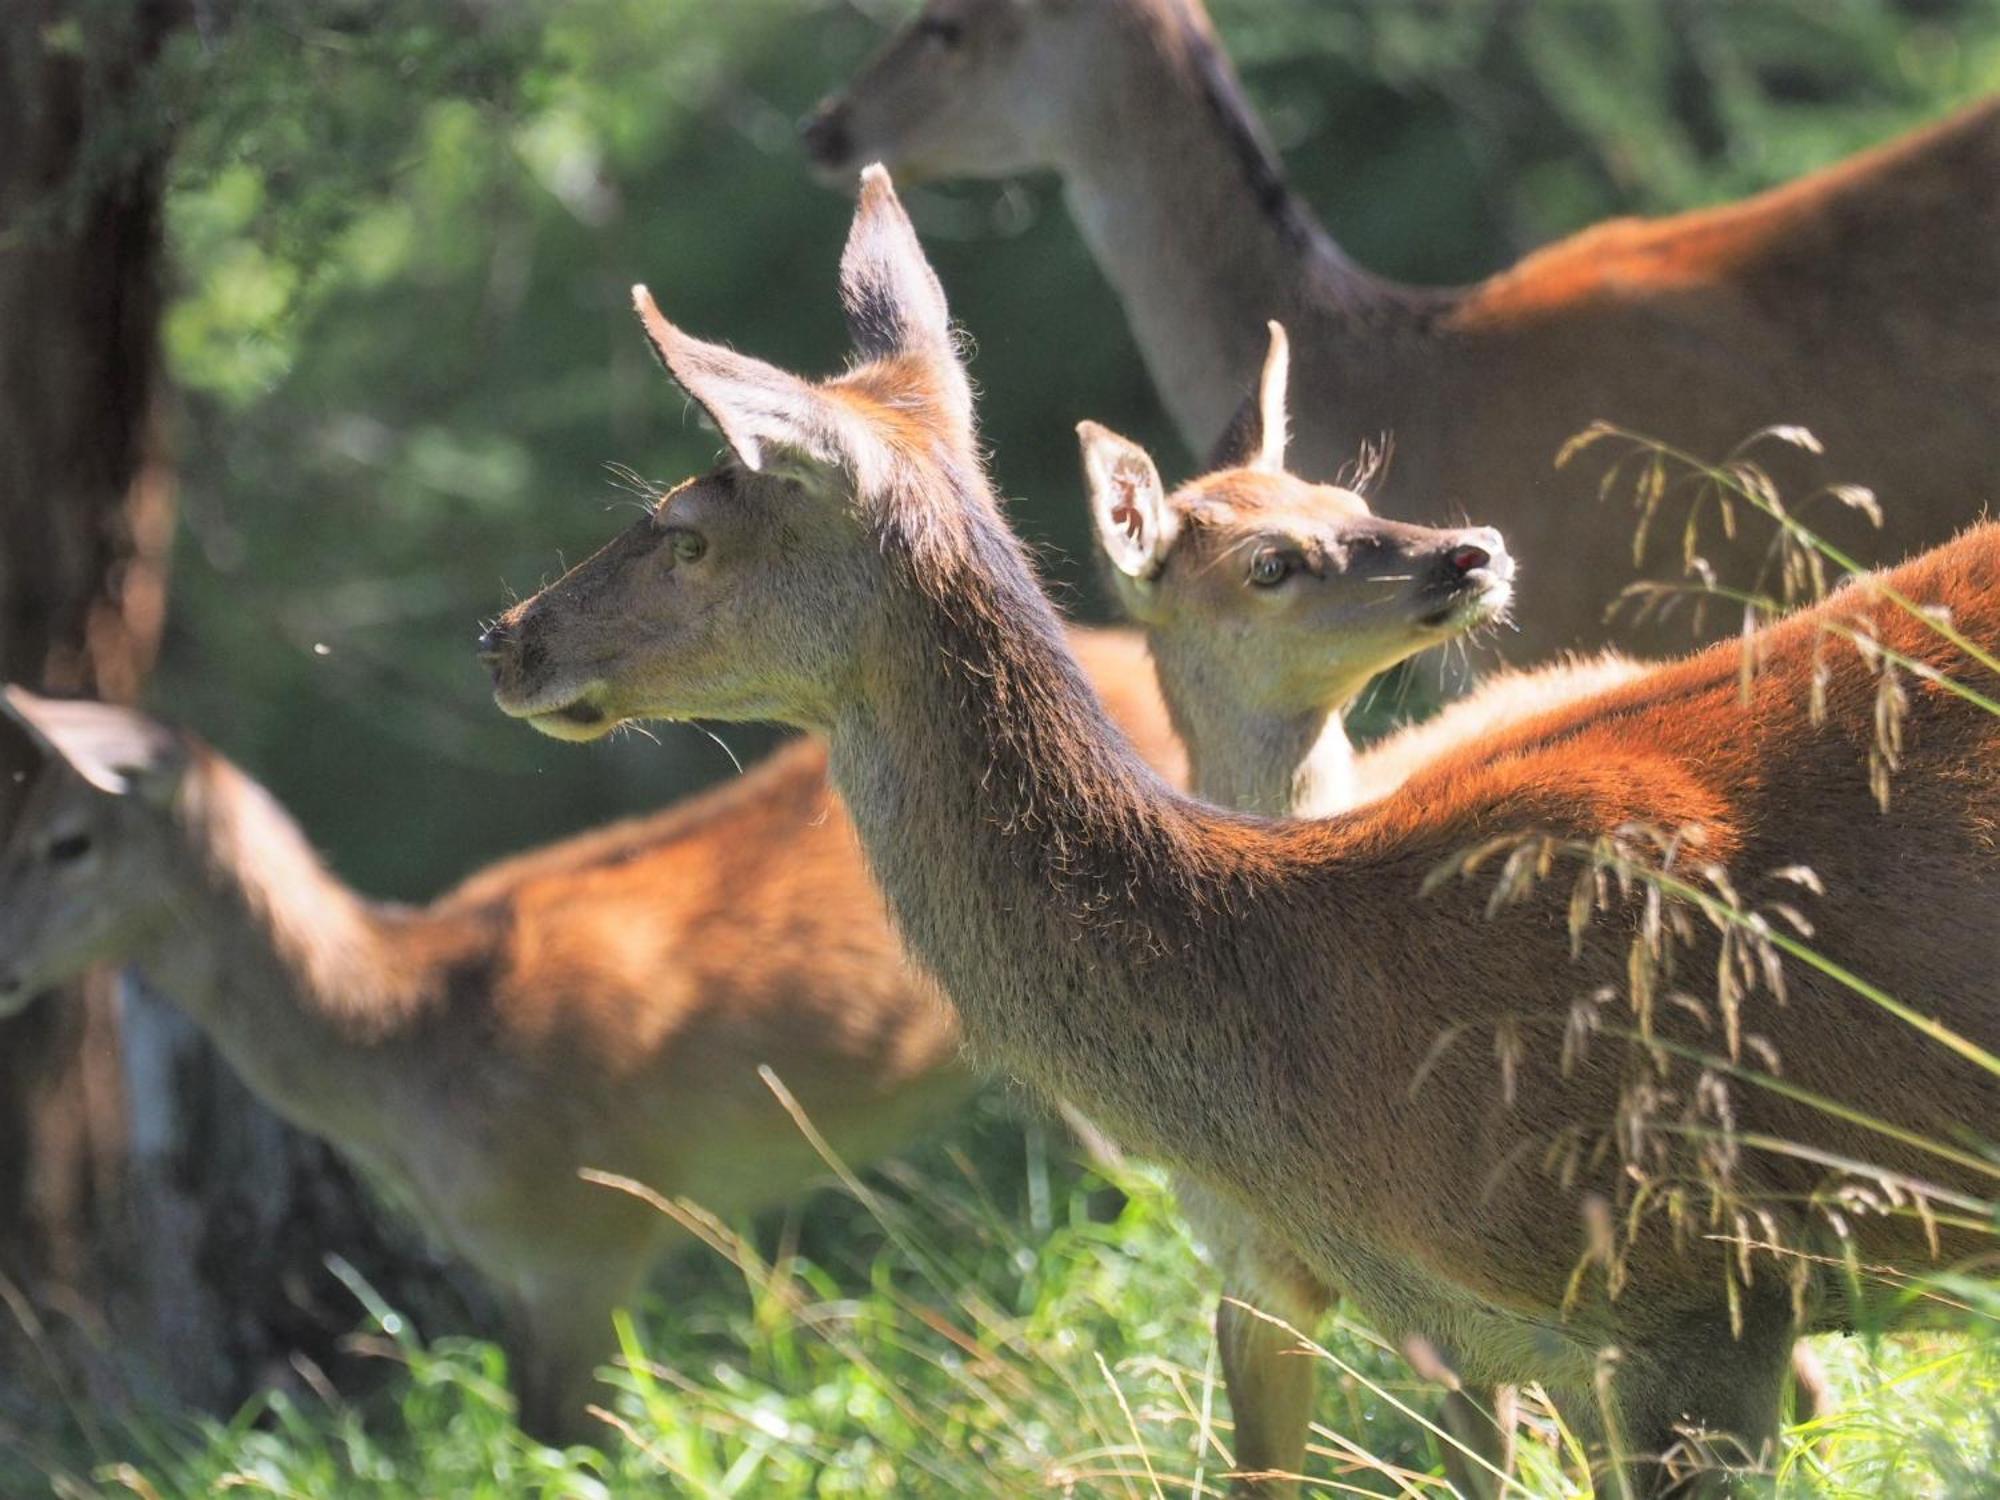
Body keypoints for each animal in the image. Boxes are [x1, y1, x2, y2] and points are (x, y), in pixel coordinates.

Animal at [0, 624, 1184, 1448]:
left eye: (69, 841)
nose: (5, 966)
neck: (407, 1040)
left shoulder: (591, 1231)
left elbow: (566, 1445)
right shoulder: (537, 1265)